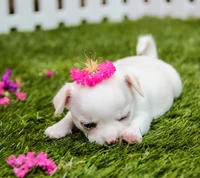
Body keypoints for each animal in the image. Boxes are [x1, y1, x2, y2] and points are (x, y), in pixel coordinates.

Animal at [44, 35, 182, 145]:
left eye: (124, 117)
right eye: (88, 125)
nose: (112, 141)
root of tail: (151, 58)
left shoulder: (143, 112)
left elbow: (138, 121)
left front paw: (131, 133)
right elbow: (68, 117)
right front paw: (57, 127)